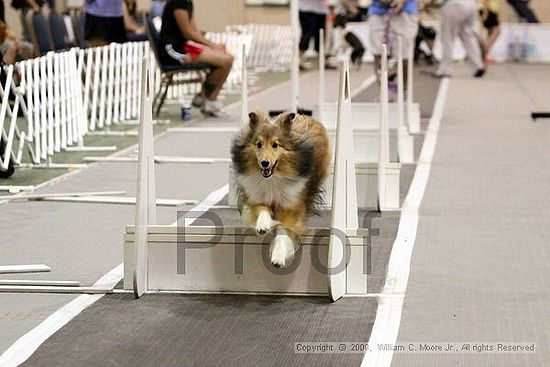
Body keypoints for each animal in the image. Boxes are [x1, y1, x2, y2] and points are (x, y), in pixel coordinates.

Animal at [230, 110, 330, 268]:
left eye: (275, 145)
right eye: (258, 144)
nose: (264, 163)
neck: (273, 178)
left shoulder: (291, 207)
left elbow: (283, 231)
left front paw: (278, 257)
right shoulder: (257, 197)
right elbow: (262, 211)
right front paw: (263, 226)